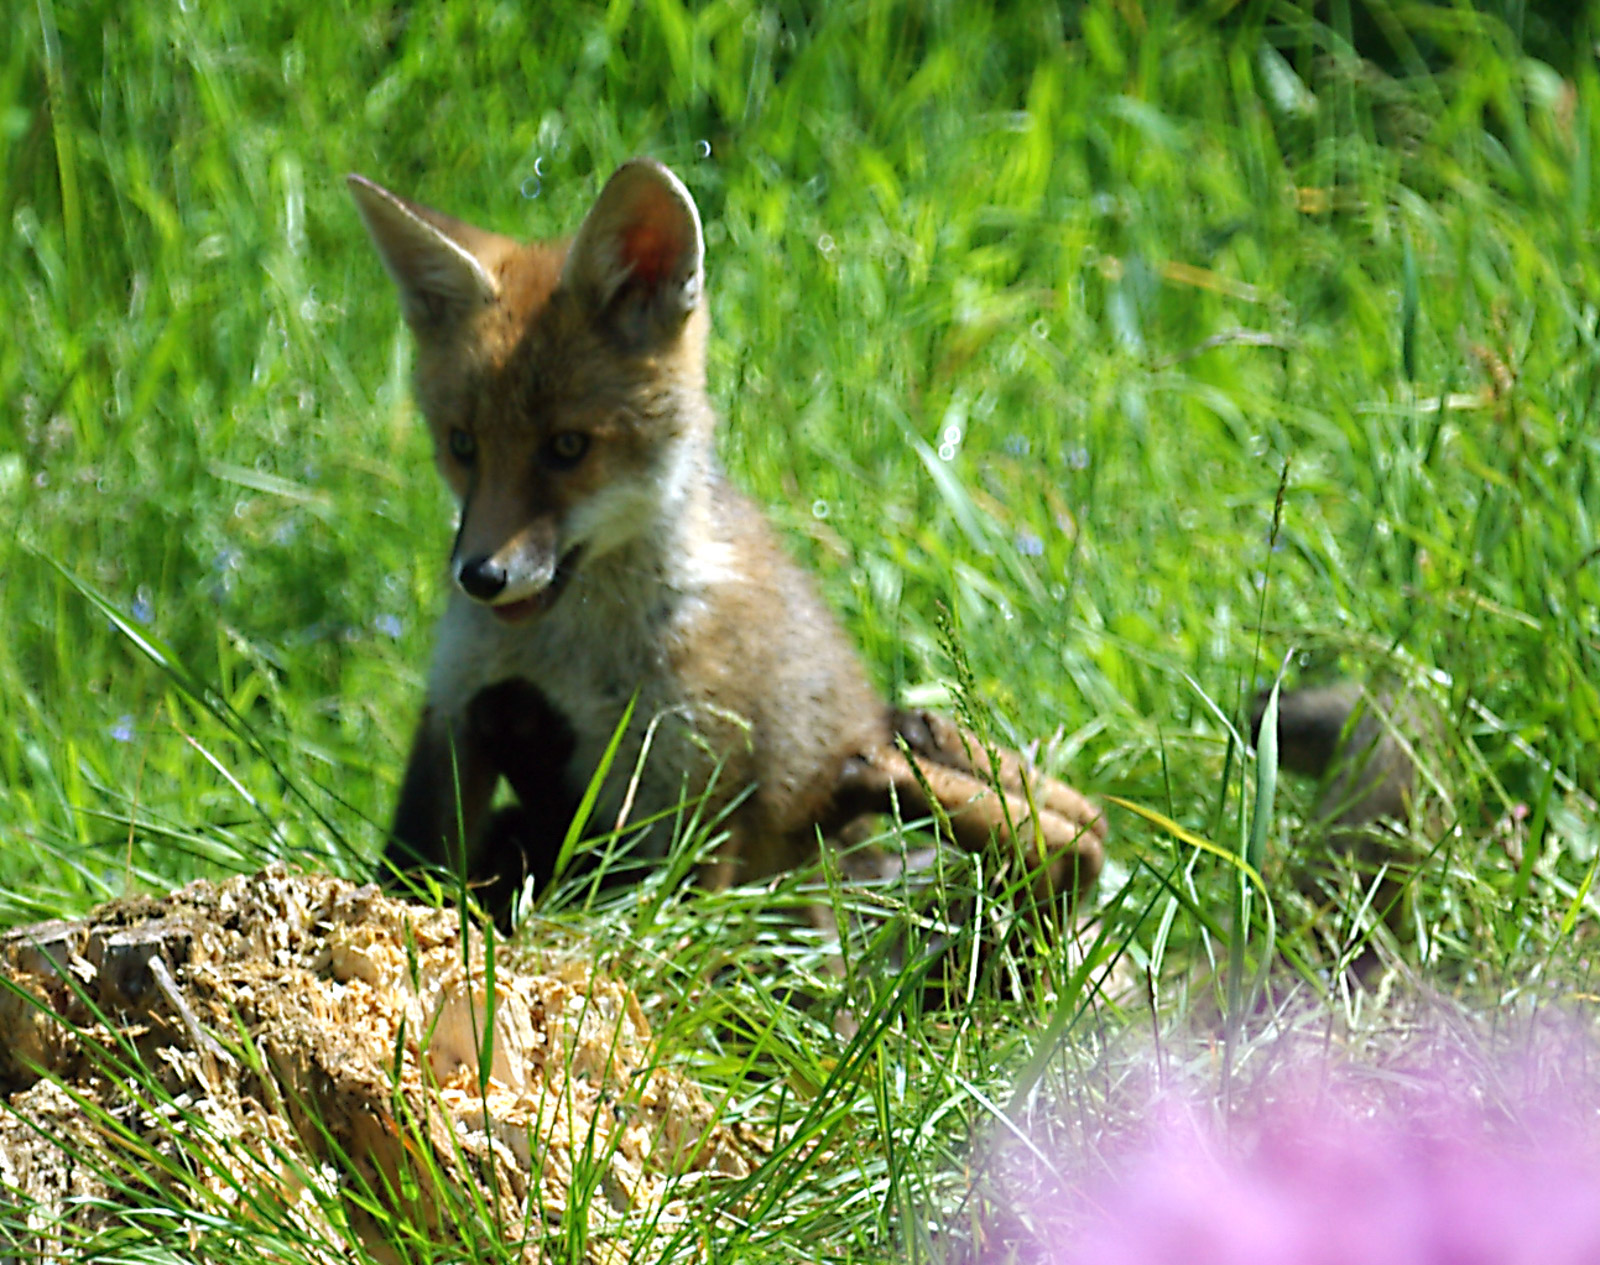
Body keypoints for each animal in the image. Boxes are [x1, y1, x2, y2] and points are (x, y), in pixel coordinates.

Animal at [347, 157, 1105, 925]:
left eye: (567, 447)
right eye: (462, 445)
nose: (480, 576)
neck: (573, 657)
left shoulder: (697, 788)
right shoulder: (458, 706)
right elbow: (411, 865)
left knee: (1069, 835)